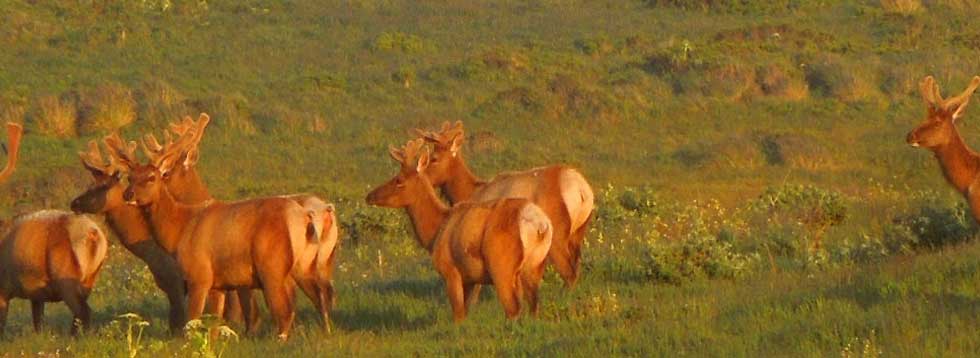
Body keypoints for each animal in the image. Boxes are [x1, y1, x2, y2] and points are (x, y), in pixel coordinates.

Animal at [366, 138, 552, 320]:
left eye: (398, 180)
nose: (369, 196)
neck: (434, 233)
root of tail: (539, 225)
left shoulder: (451, 270)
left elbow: (458, 315)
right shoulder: (470, 279)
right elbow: (466, 310)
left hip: (502, 265)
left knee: (513, 309)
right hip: (535, 265)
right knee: (534, 306)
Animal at [416, 121, 592, 286]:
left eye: (434, 158)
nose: (421, 176)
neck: (470, 191)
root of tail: (582, 190)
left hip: (558, 232)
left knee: (568, 270)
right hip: (578, 232)